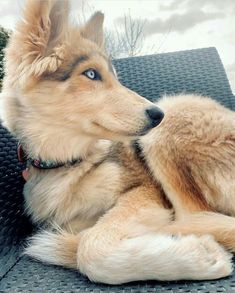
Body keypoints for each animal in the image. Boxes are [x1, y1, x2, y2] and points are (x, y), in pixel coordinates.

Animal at [0, 0, 235, 284]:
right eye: (91, 73)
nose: (157, 115)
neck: (71, 161)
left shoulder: (144, 189)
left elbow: (90, 246)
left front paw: (201, 255)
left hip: (170, 118)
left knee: (195, 216)